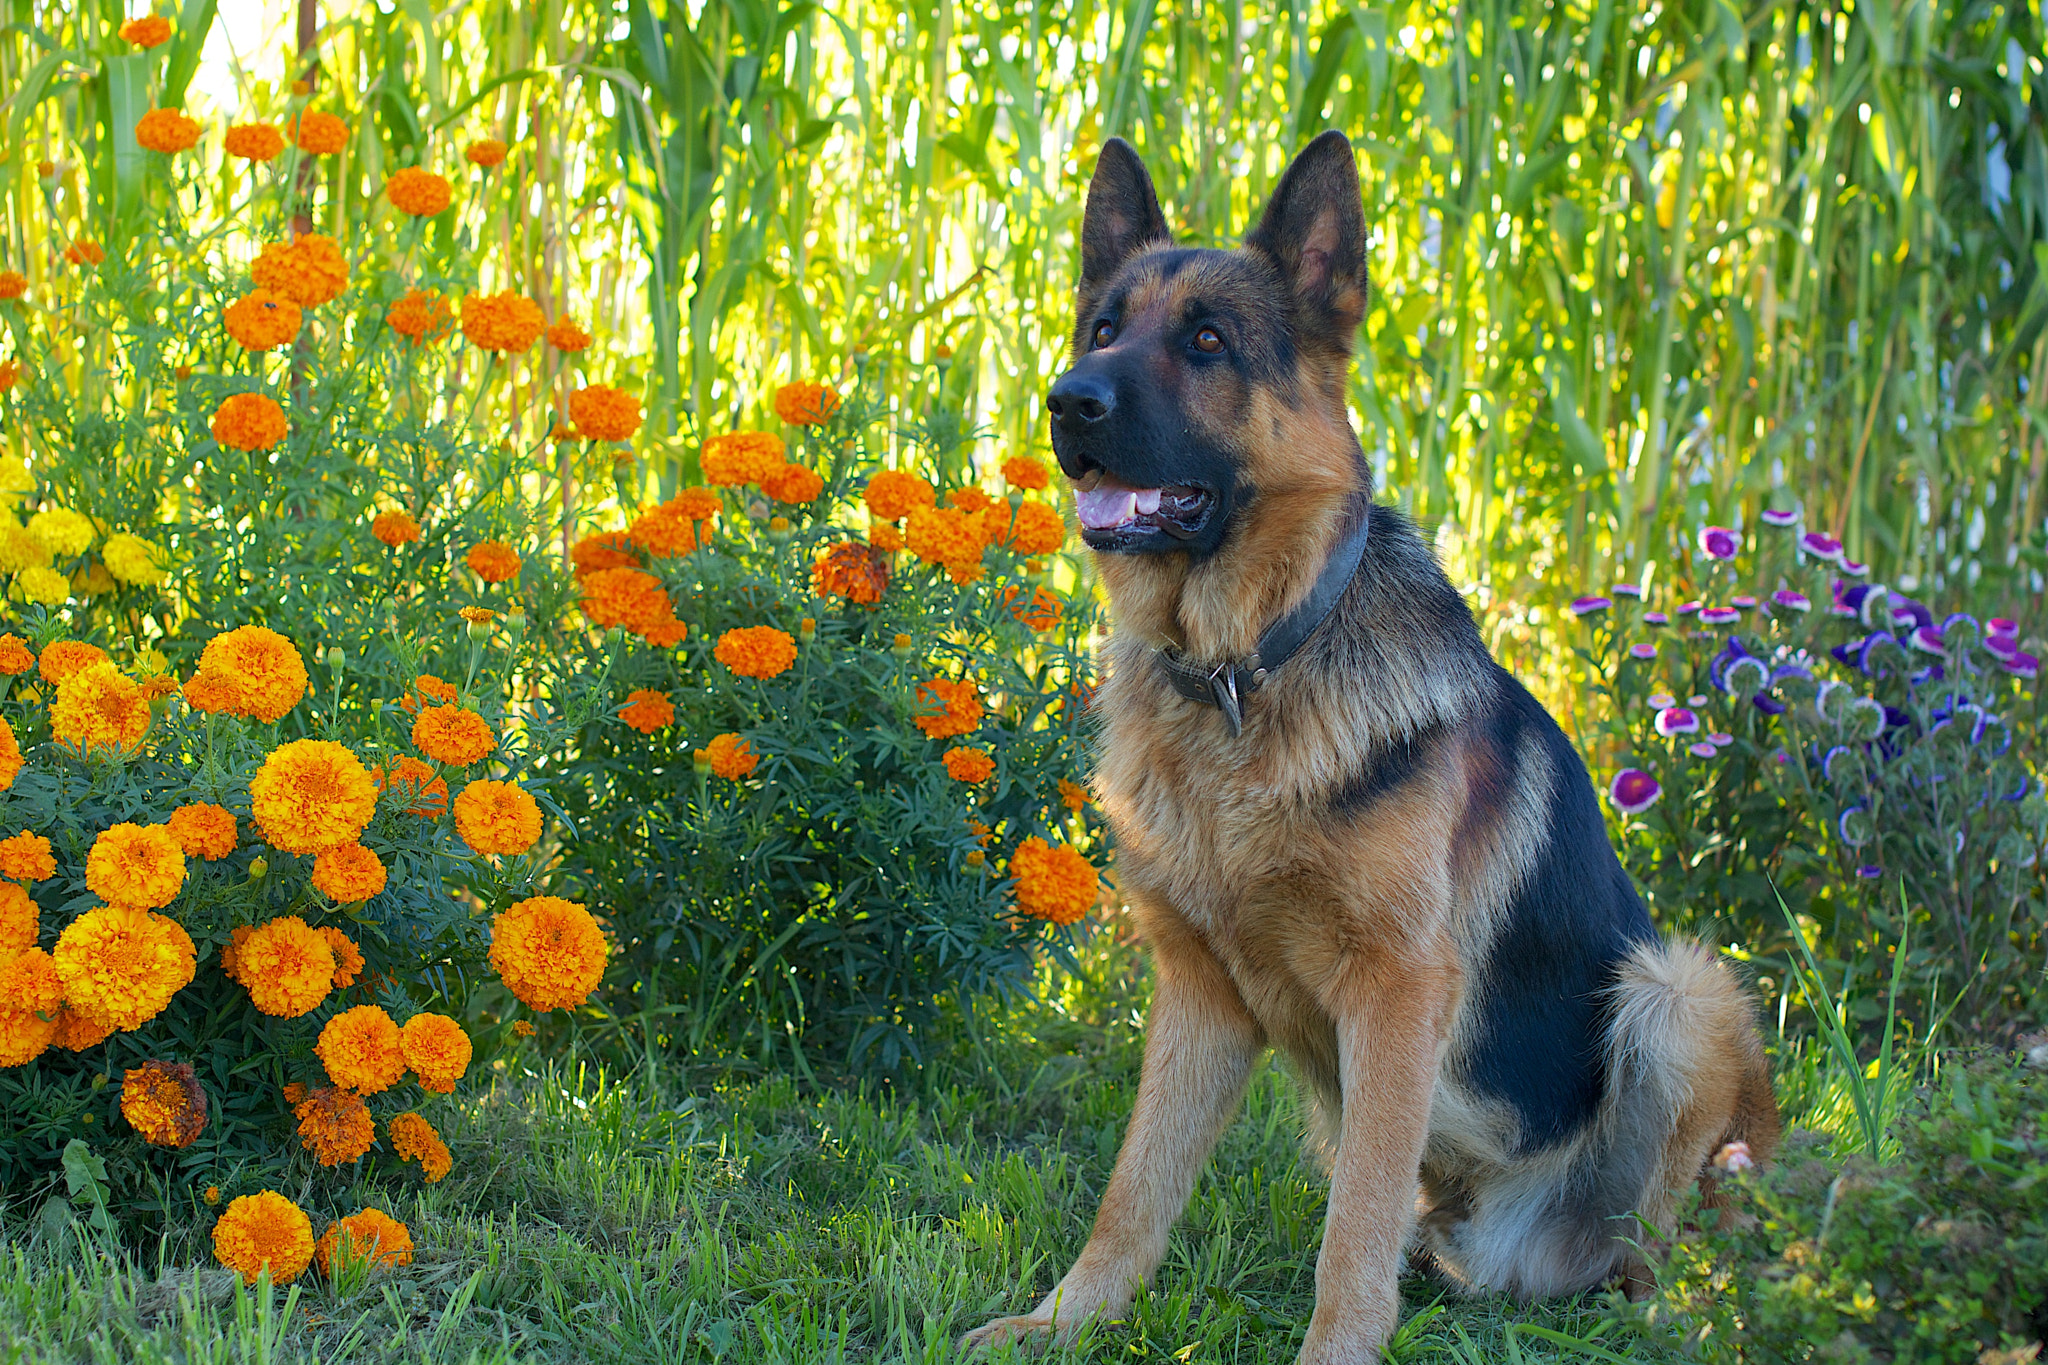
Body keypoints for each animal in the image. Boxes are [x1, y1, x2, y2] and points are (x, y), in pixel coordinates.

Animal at [958, 130, 1777, 1365]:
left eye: (1206, 341)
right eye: (1102, 328)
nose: (1065, 401)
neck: (1245, 669)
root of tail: (1512, 1258)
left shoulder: (1395, 996)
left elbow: (1350, 1231)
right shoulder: (1198, 993)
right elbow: (1134, 1188)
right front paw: (1065, 1321)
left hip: (1679, 993)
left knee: (1654, 1248)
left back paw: (1668, 1315)